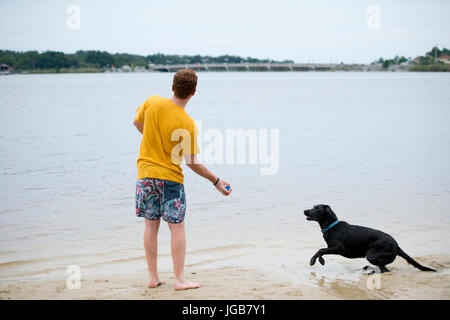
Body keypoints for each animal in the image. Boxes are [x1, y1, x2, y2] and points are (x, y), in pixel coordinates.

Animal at [302, 205, 436, 272]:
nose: (305, 211)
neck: (332, 227)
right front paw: (314, 260)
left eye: (317, 208)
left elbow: (320, 250)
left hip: (371, 255)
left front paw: (318, 261)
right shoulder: (333, 248)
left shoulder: (338, 249)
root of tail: (396, 245)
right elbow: (319, 250)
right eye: (313, 206)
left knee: (384, 268)